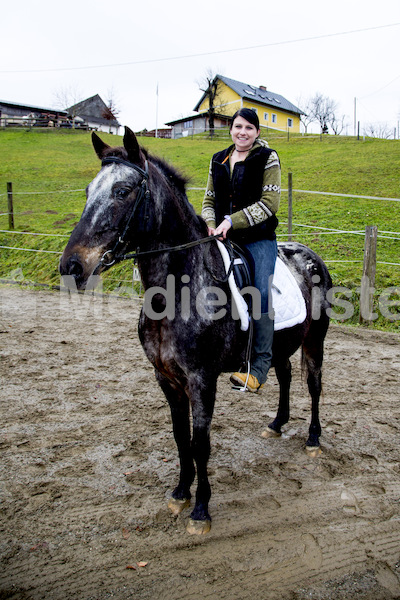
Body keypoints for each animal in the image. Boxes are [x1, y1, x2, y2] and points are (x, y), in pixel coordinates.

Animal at [59, 126, 332, 536]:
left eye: (122, 191)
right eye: (90, 190)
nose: (72, 266)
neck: (179, 289)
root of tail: (310, 254)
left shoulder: (202, 379)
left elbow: (200, 441)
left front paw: (201, 509)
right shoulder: (167, 378)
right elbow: (180, 437)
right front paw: (179, 493)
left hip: (314, 340)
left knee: (313, 385)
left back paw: (313, 438)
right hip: (283, 345)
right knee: (283, 374)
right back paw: (276, 423)